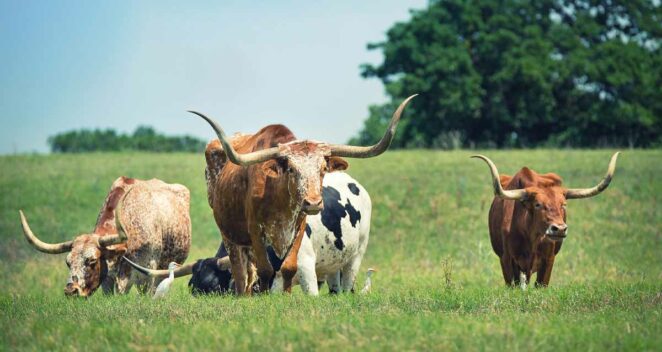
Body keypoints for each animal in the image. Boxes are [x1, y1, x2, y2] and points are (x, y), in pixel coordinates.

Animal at [187, 94, 416, 294]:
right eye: (291, 169)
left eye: (323, 168)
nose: (313, 202)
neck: (277, 196)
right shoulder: (256, 231)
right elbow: (264, 270)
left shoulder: (299, 228)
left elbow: (288, 268)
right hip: (230, 236)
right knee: (242, 273)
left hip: (356, 252)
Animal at [472, 153, 624, 288]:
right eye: (537, 204)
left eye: (563, 204)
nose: (560, 229)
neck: (530, 237)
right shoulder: (507, 260)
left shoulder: (548, 260)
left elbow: (541, 285)